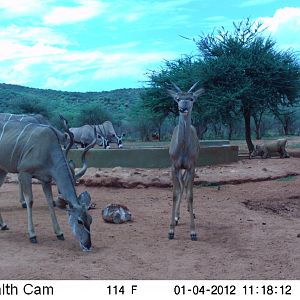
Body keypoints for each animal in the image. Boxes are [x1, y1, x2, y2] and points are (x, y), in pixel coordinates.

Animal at [0, 119, 93, 251]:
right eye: (79, 221)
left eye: (90, 220)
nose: (88, 245)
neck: (48, 148)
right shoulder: (24, 172)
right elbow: (30, 201)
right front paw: (32, 235)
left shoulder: (45, 180)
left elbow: (50, 202)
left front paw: (59, 233)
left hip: (2, 171)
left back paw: (3, 225)